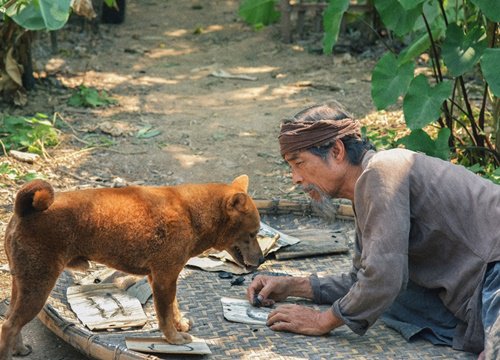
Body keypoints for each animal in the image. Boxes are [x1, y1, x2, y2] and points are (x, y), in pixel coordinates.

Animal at [0, 176, 264, 358]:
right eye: (253, 234)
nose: (262, 260)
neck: (191, 213)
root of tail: (23, 210)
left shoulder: (163, 277)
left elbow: (174, 307)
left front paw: (179, 325)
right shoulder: (164, 277)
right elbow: (164, 315)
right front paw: (174, 338)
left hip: (22, 284)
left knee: (11, 321)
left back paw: (19, 348)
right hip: (38, 286)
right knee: (9, 326)